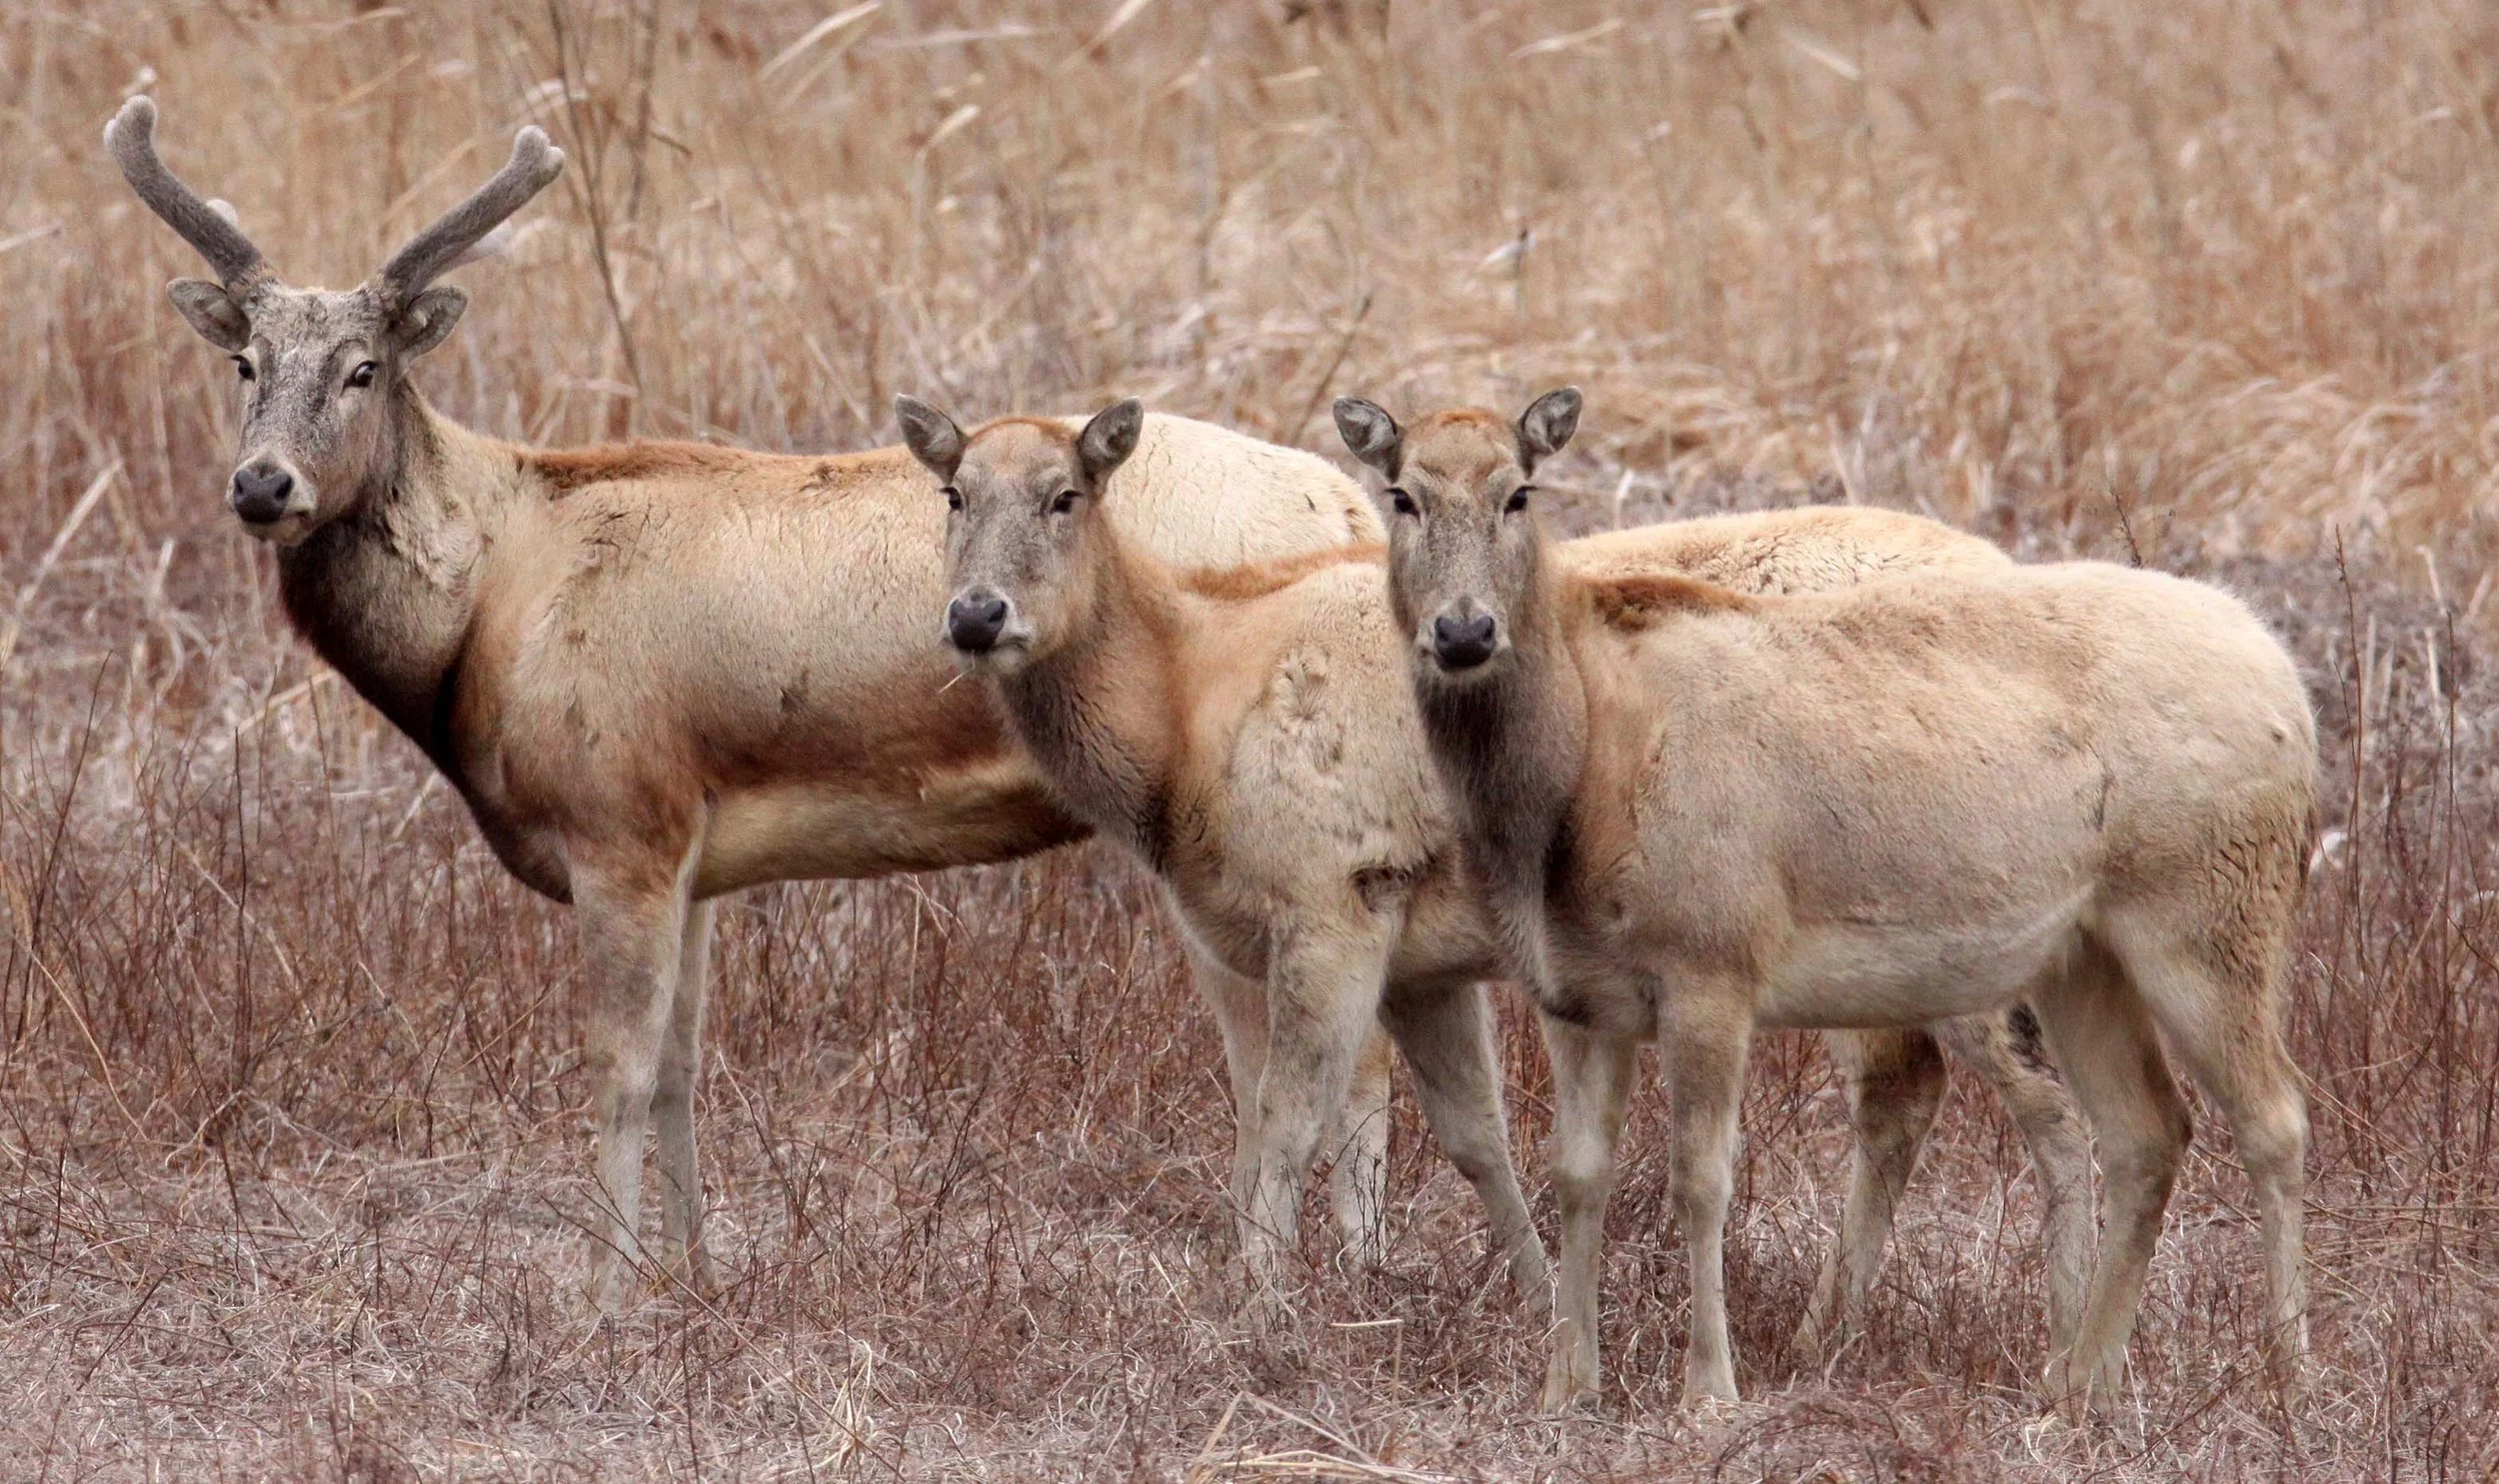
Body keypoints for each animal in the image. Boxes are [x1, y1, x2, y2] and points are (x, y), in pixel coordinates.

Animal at [104, 96, 1414, 1312]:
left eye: (364, 368)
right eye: (245, 364)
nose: (261, 484)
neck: (493, 598)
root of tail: (1348, 504)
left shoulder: (618, 812)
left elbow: (619, 1068)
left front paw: (605, 1296)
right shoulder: (688, 844)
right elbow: (684, 1067)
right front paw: (693, 1272)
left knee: (1334, 1063)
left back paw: (1333, 1280)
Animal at [897, 395, 2091, 1347]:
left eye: (1064, 494)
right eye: (952, 493)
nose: (975, 615)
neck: (1186, 713)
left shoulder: (1334, 891)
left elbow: (1285, 1124)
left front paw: (1259, 1321)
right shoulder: (1420, 956)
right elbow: (1477, 1138)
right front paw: (1536, 1299)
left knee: (2032, 1101)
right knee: (1917, 1087)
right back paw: (1830, 1332)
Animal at [1341, 387, 2315, 1418]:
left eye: (1519, 492)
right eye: (1402, 495)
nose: (1464, 632)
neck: (1571, 792)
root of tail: (2294, 693)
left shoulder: (1712, 960)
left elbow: (1702, 1178)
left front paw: (1710, 1389)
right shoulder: (1571, 995)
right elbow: (1575, 1173)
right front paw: (1566, 1385)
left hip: (2211, 912)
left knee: (2274, 1116)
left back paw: (2288, 1372)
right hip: (2080, 957)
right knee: (2146, 1132)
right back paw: (2080, 1384)